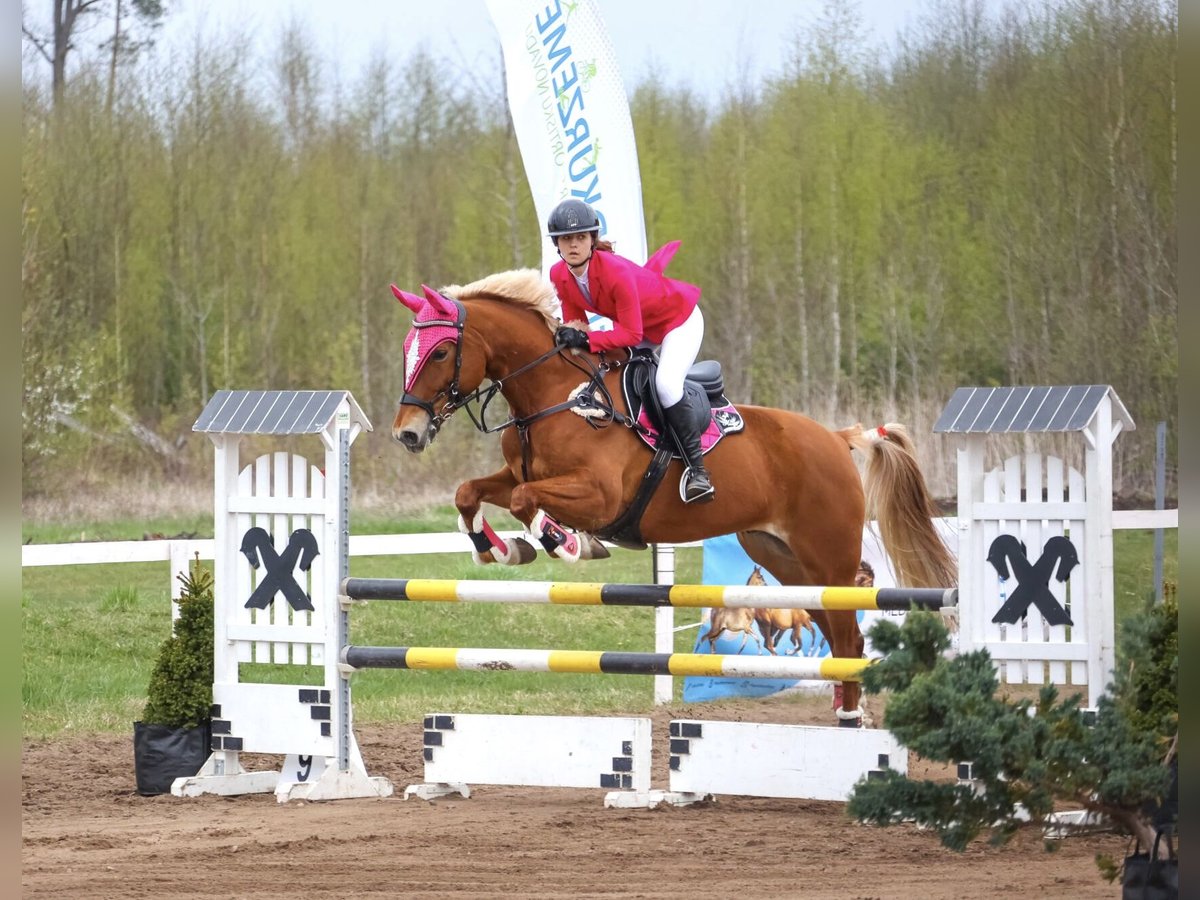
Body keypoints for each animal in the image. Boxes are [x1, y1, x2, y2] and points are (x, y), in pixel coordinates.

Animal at [391, 267, 955, 724]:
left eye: (440, 351)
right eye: (406, 352)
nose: (408, 434)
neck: (554, 397)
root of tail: (837, 438)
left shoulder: (599, 496)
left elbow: (526, 501)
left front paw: (567, 543)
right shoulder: (515, 473)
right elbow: (472, 492)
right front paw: (500, 549)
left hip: (828, 555)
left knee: (851, 628)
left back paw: (851, 719)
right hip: (785, 558)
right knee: (836, 634)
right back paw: (846, 712)